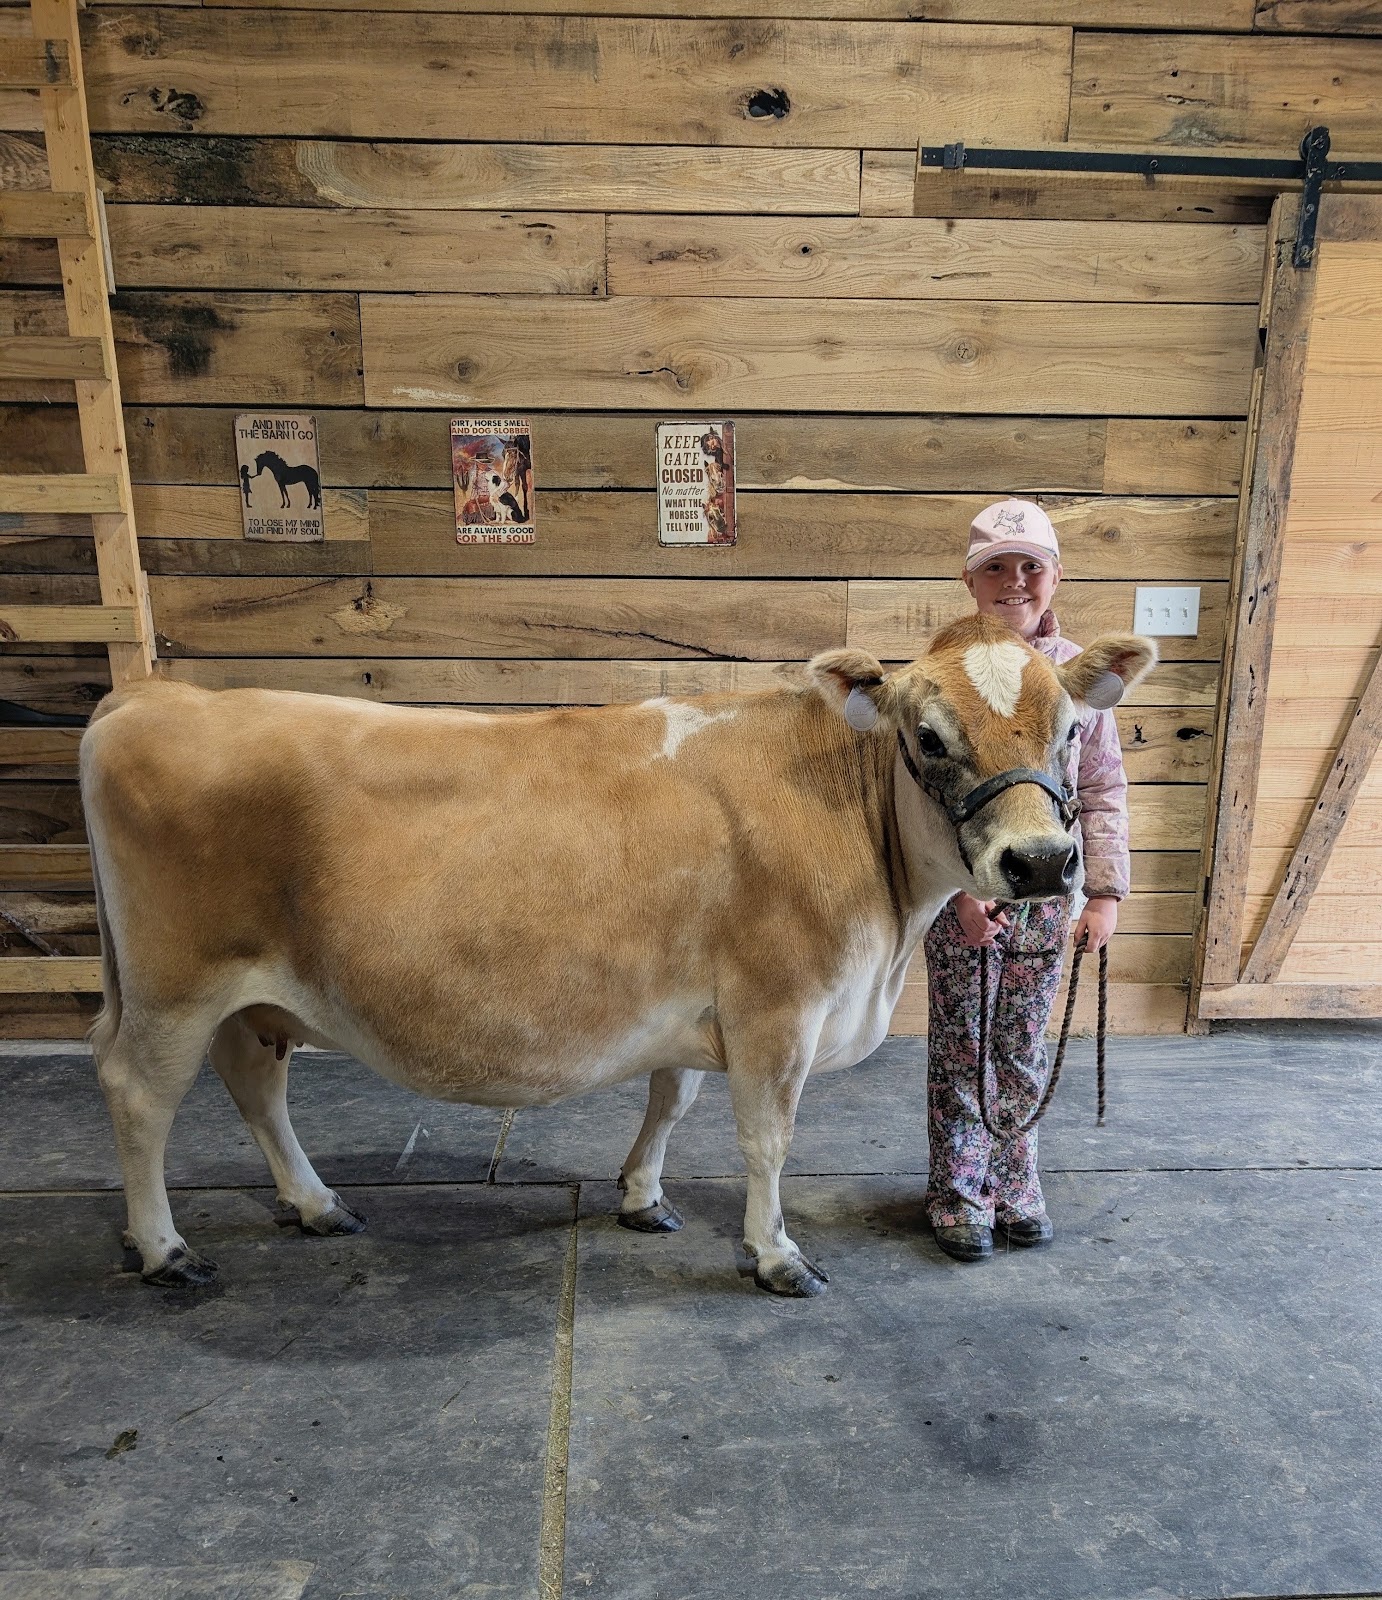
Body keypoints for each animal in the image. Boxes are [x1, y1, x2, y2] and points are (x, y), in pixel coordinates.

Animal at [79, 615, 1156, 1298]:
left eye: (1070, 729)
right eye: (928, 736)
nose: (1041, 861)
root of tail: (146, 698)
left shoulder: (701, 1001)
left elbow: (670, 1099)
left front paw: (641, 1197)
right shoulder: (777, 1006)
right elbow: (766, 1139)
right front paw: (775, 1255)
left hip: (248, 994)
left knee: (253, 1082)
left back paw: (313, 1204)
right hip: (175, 986)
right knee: (138, 1093)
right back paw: (164, 1249)